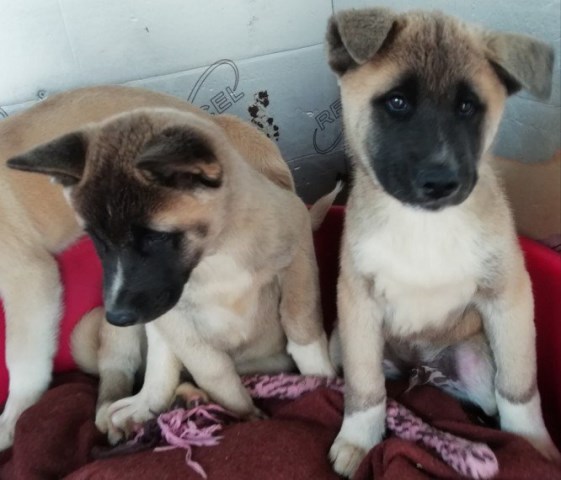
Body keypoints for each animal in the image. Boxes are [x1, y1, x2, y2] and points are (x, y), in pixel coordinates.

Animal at [6, 93, 335, 442]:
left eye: (156, 237)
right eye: (97, 240)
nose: (117, 316)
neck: (218, 255)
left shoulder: (298, 257)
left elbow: (303, 328)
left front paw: (323, 382)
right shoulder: (172, 317)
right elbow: (214, 370)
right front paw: (247, 417)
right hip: (134, 336)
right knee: (126, 370)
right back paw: (138, 408)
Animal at [324, 8, 560, 476]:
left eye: (467, 107)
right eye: (397, 102)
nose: (440, 181)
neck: (423, 224)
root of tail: (421, 368)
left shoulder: (510, 297)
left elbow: (519, 386)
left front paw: (530, 445)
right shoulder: (357, 302)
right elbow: (365, 389)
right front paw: (359, 439)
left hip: (475, 362)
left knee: (488, 397)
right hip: (341, 341)